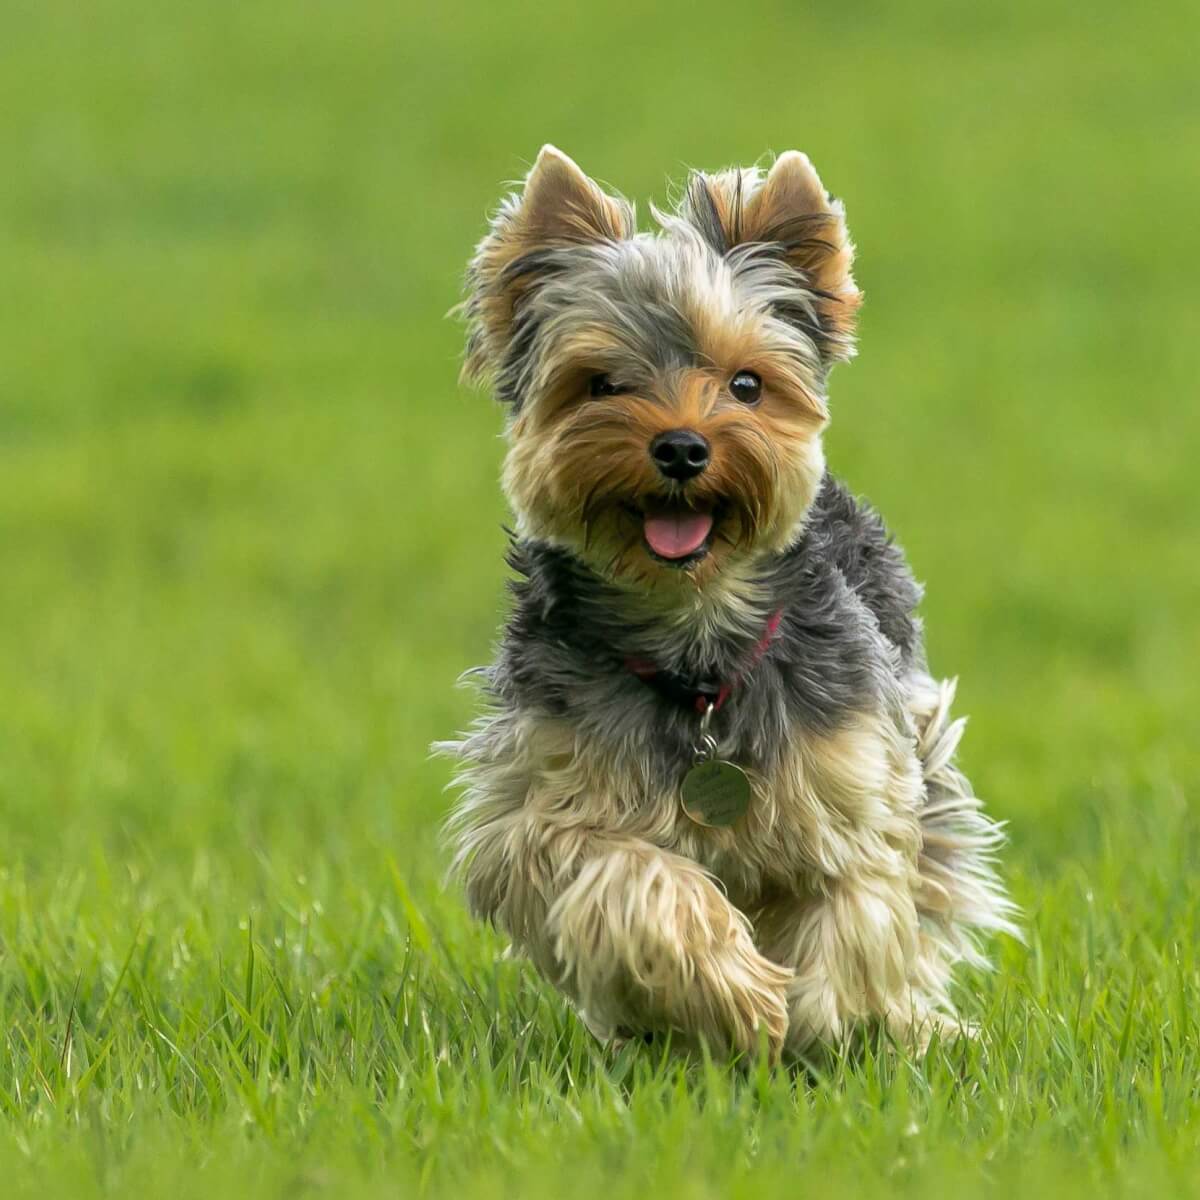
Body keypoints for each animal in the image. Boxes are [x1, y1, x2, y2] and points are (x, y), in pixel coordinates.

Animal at [446, 145, 1017, 1056]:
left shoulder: (856, 776)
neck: (696, 643)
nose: (682, 447)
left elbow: (857, 911)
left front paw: (823, 1020)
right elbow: (632, 884)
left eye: (746, 384)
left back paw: (921, 1027)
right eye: (601, 384)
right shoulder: (544, 805)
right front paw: (734, 996)